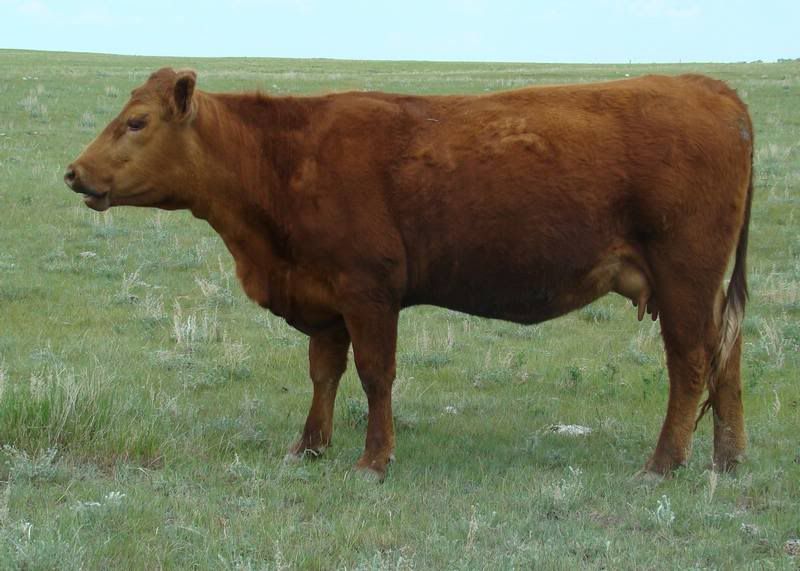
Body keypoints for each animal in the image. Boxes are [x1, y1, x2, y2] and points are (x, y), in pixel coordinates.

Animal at [64, 68, 753, 480]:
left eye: (137, 122)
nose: (74, 173)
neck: (283, 159)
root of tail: (711, 88)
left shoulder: (368, 291)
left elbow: (375, 375)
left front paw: (374, 459)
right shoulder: (325, 297)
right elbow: (324, 373)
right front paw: (308, 447)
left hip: (685, 278)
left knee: (691, 362)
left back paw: (665, 462)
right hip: (704, 289)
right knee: (727, 354)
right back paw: (728, 458)